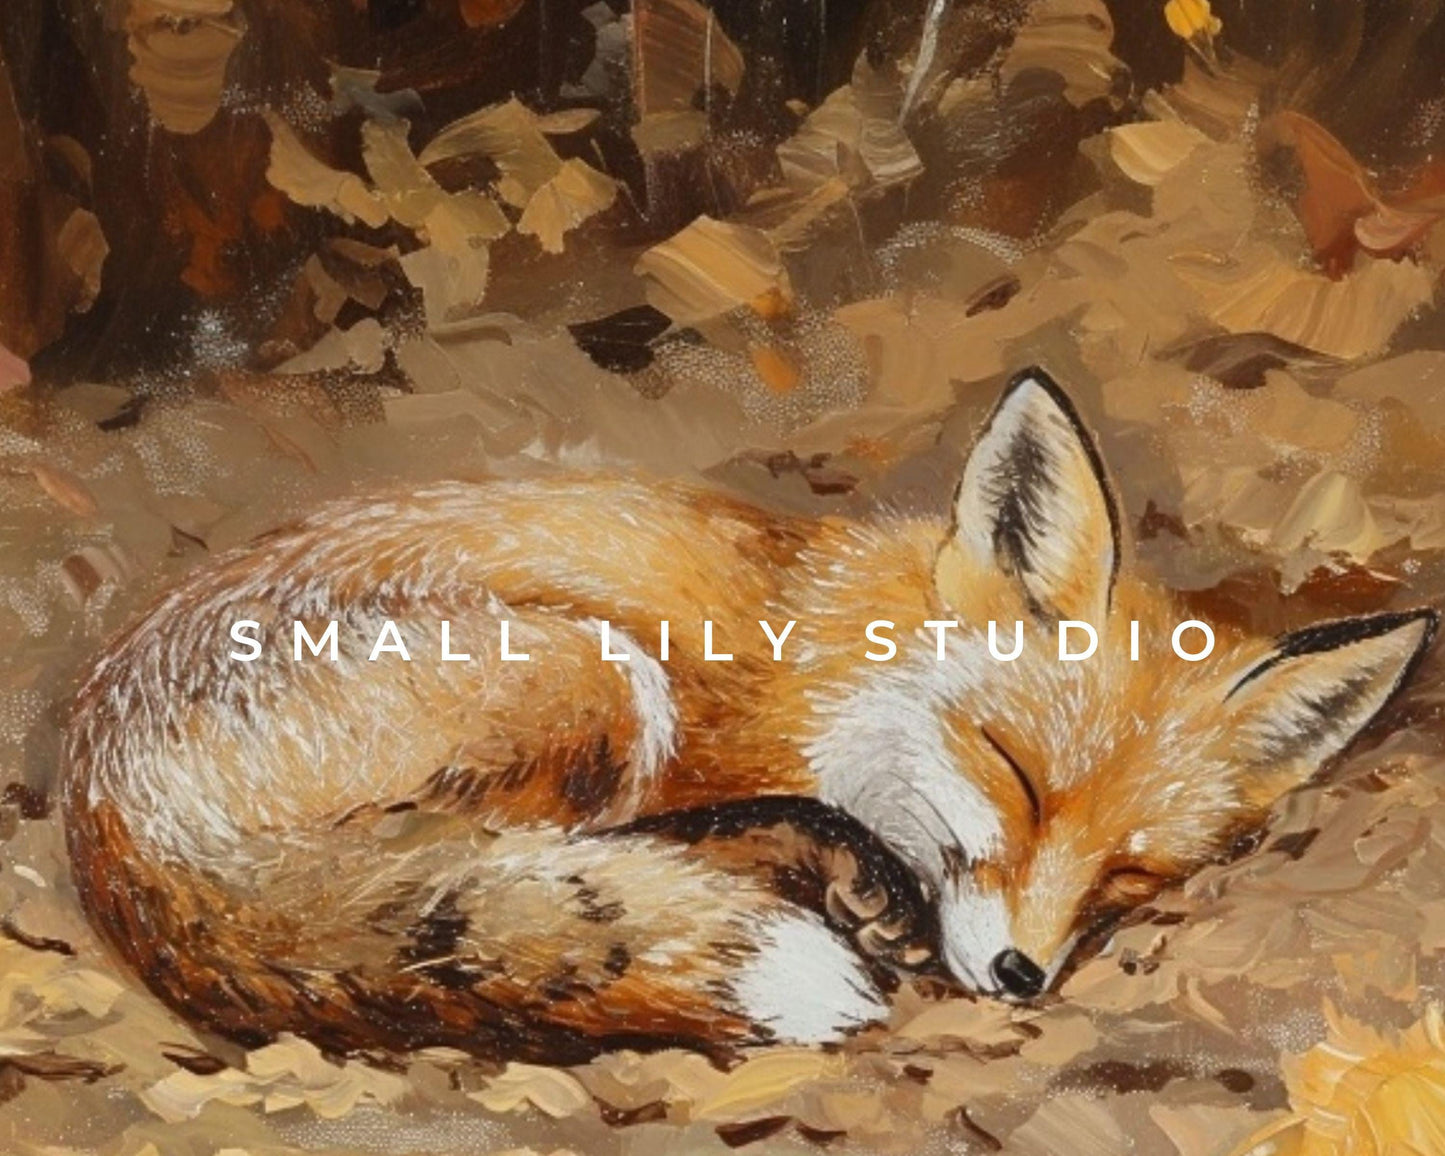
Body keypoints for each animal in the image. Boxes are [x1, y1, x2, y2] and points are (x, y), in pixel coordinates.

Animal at [62, 367, 1437, 1062]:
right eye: (1013, 772)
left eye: (1133, 872)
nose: (1019, 975)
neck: (813, 660)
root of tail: (100, 799)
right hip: (597, 677)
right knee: (505, 856)